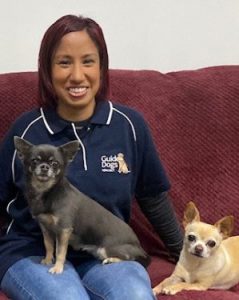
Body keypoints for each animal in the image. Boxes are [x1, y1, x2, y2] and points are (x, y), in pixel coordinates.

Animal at [14, 136, 149, 274]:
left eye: (55, 163)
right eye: (34, 161)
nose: (45, 167)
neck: (46, 191)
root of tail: (139, 247)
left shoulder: (64, 230)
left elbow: (60, 252)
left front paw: (57, 267)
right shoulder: (46, 229)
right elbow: (49, 246)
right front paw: (47, 260)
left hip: (105, 248)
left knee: (132, 259)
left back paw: (111, 260)